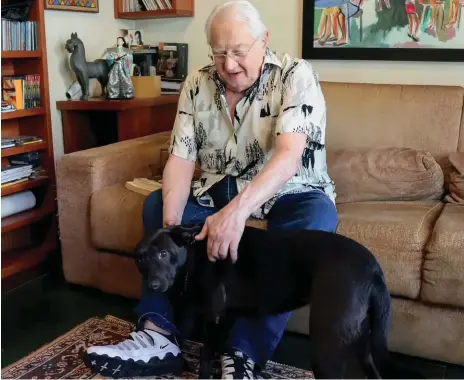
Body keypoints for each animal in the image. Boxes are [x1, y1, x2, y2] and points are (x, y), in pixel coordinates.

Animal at [134, 224, 420, 378]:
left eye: (163, 253)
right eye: (140, 259)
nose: (153, 286)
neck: (196, 254)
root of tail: (373, 268)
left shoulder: (213, 320)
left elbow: (205, 357)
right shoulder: (224, 317)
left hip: (327, 342)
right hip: (363, 341)